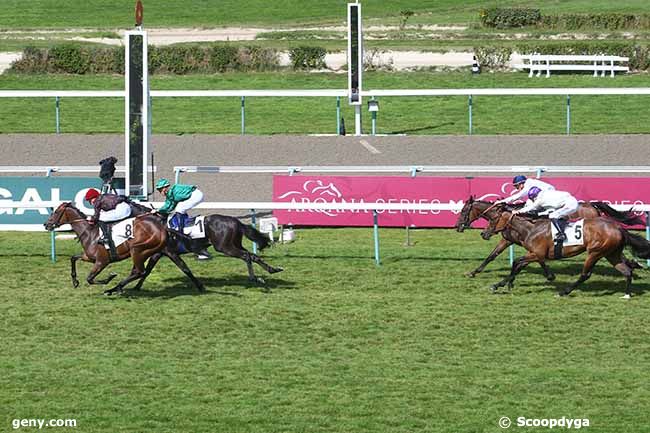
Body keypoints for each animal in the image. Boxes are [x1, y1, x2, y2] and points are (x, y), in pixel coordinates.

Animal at [45, 202, 202, 296]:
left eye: (56, 212)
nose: (46, 224)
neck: (90, 232)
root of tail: (163, 228)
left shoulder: (101, 261)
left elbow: (90, 278)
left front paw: (109, 278)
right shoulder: (89, 257)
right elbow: (73, 258)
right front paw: (75, 281)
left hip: (137, 250)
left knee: (140, 271)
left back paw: (114, 288)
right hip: (154, 251)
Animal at [454, 197, 640, 278]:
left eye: (463, 211)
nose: (458, 226)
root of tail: (592, 205)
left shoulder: (518, 241)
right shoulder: (512, 241)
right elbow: (492, 255)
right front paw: (473, 272)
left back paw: (633, 264)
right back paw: (633, 264)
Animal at [478, 206, 648, 296]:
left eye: (493, 219)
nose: (483, 234)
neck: (531, 228)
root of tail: (618, 228)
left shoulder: (537, 253)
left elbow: (517, 262)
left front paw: (505, 284)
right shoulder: (533, 253)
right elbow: (518, 265)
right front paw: (502, 284)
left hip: (595, 252)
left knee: (585, 274)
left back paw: (564, 292)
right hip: (611, 254)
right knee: (626, 271)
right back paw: (627, 294)